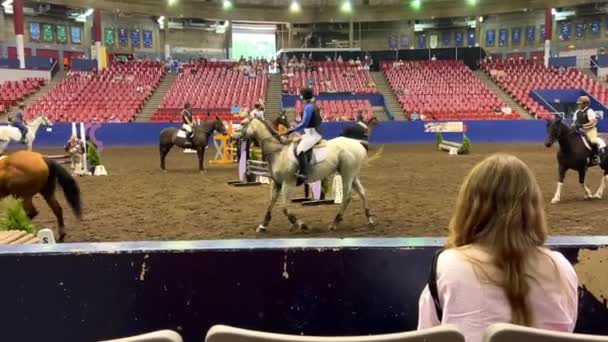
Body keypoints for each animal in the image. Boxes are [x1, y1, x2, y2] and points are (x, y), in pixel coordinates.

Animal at [235, 117, 378, 232]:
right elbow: (271, 204)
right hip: (353, 175)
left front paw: (301, 225)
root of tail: (357, 142)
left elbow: (284, 208)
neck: (278, 152)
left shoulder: (288, 184)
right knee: (362, 192)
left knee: (347, 196)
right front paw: (263, 225)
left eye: (243, 123)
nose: (233, 137)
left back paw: (335, 223)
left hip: (347, 174)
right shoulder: (277, 183)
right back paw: (370, 220)